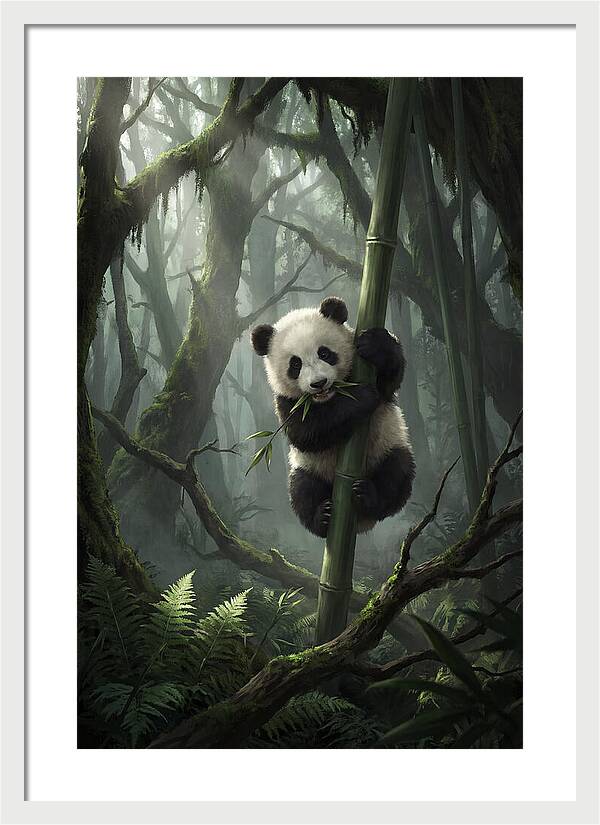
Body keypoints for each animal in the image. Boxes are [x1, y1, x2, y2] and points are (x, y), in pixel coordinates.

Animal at [251, 296, 415, 538]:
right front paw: (361, 396)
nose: (318, 383)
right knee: (302, 490)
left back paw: (368, 497)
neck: (330, 397)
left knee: (396, 473)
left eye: (324, 353)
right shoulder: (286, 401)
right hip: (309, 468)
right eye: (295, 364)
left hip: (387, 446)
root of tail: (360, 524)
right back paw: (323, 517)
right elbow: (306, 433)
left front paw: (375, 345)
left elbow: (390, 380)